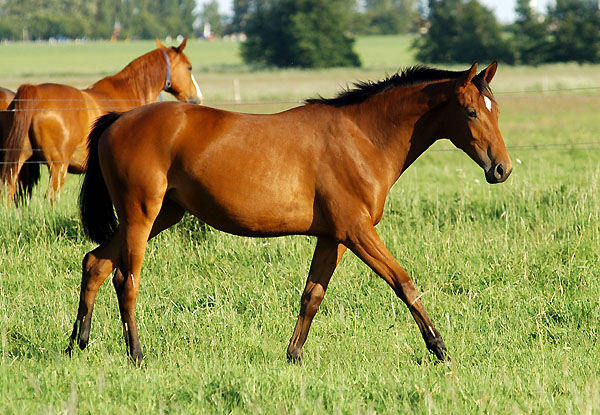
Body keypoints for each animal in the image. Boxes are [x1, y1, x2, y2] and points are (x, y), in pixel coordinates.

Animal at [0, 39, 204, 205]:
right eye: (189, 68)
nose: (198, 98)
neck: (128, 92)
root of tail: (34, 91)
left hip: (18, 159)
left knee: (8, 191)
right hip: (58, 167)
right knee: (50, 197)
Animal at [69, 61, 510, 364]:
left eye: (497, 111)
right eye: (472, 112)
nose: (501, 169)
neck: (362, 137)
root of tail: (116, 121)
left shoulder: (334, 237)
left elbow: (312, 296)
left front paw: (293, 355)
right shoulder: (357, 232)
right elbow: (404, 284)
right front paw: (439, 347)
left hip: (160, 216)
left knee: (95, 263)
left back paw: (78, 342)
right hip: (141, 216)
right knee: (126, 280)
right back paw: (136, 354)